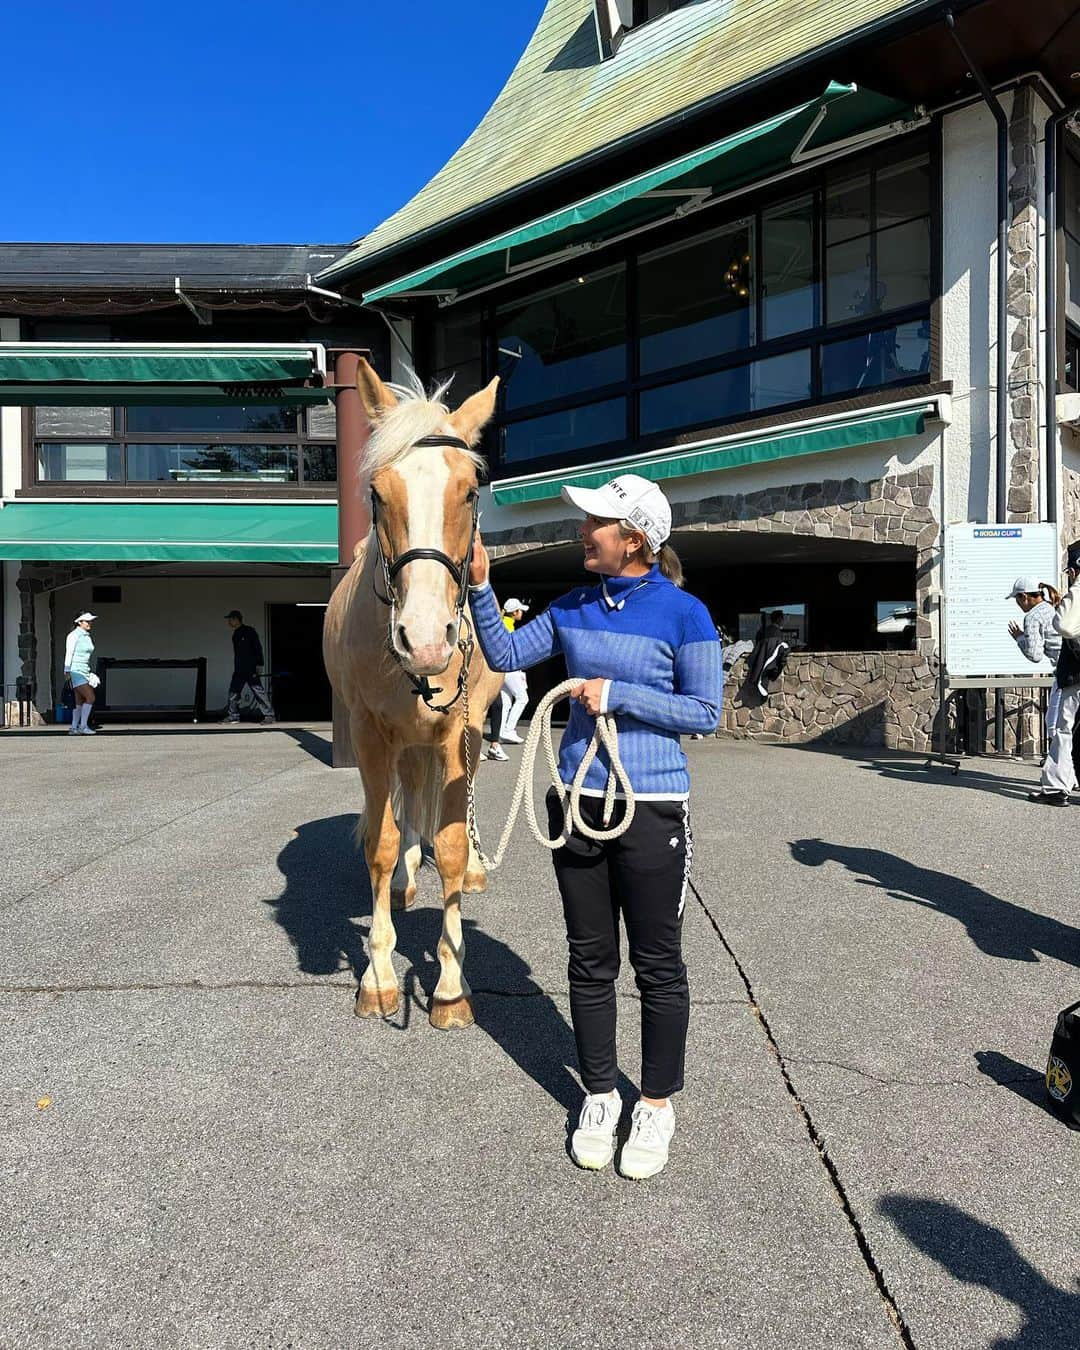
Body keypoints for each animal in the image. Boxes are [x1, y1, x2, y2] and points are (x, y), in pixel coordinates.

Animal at [322, 359, 504, 1031]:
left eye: (471, 491)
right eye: (378, 493)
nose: (426, 640)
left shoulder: (455, 733)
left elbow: (447, 845)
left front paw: (451, 986)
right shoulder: (373, 734)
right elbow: (381, 843)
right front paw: (377, 975)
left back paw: (474, 864)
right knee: (403, 805)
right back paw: (404, 878)